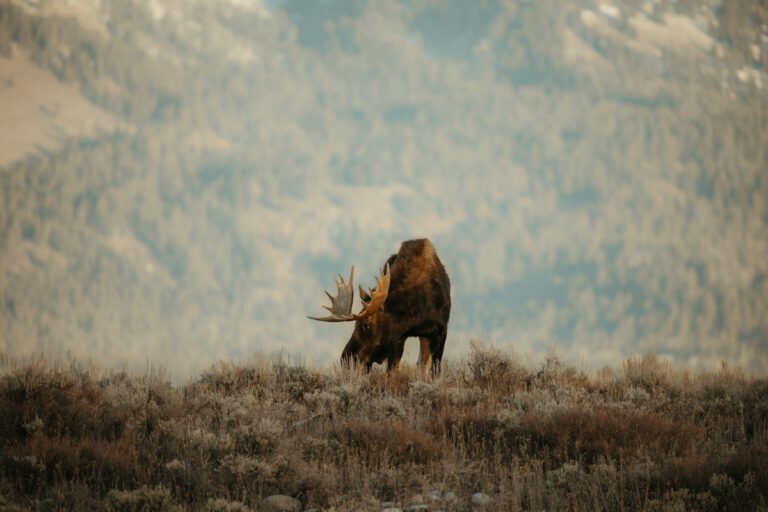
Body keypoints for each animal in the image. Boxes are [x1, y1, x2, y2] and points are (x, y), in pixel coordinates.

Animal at [308, 239, 451, 376]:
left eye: (366, 325)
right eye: (355, 324)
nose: (346, 358)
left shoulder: (441, 329)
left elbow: (434, 371)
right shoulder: (398, 339)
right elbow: (391, 373)